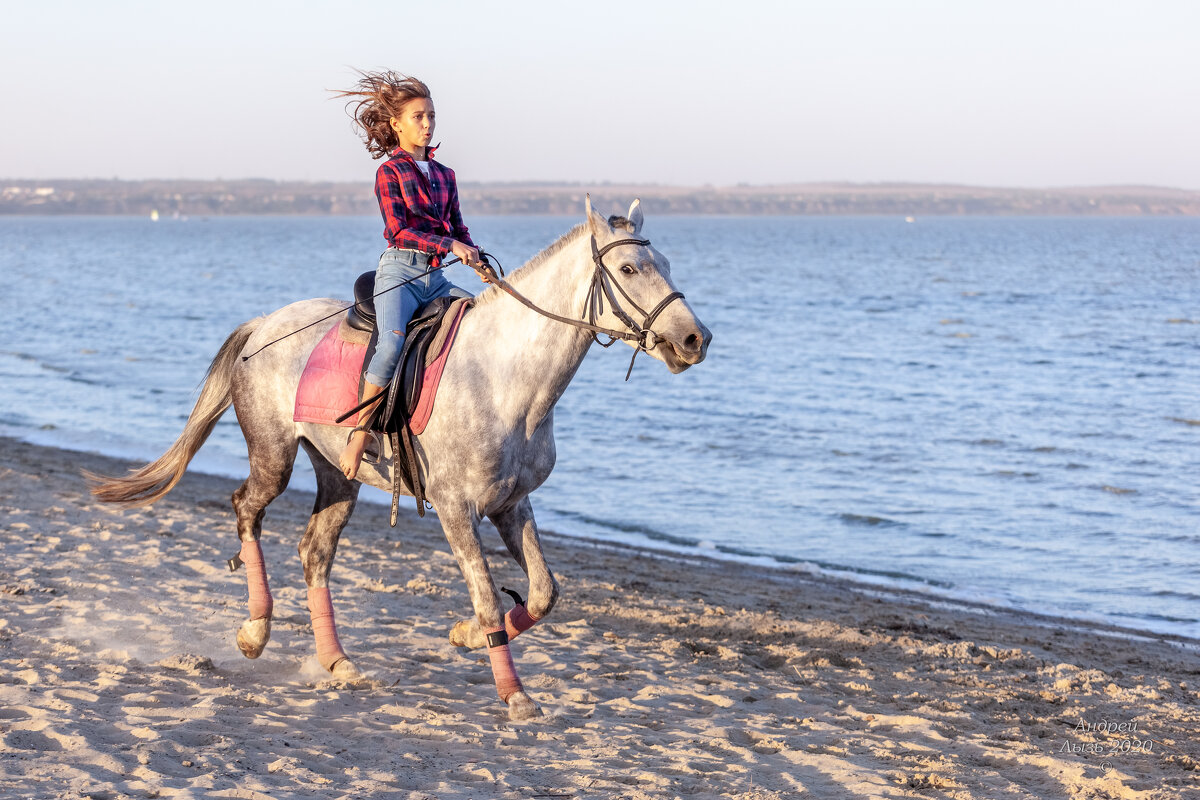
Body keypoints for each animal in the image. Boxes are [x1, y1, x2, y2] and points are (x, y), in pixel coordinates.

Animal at [93, 196, 715, 724]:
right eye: (629, 269)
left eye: (663, 261)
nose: (695, 339)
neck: (504, 377)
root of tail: (262, 326)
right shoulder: (456, 509)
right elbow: (488, 600)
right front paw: (513, 695)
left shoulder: (512, 503)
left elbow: (542, 593)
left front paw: (464, 637)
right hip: (273, 454)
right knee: (247, 509)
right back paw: (255, 630)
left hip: (337, 474)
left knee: (315, 552)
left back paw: (338, 662)